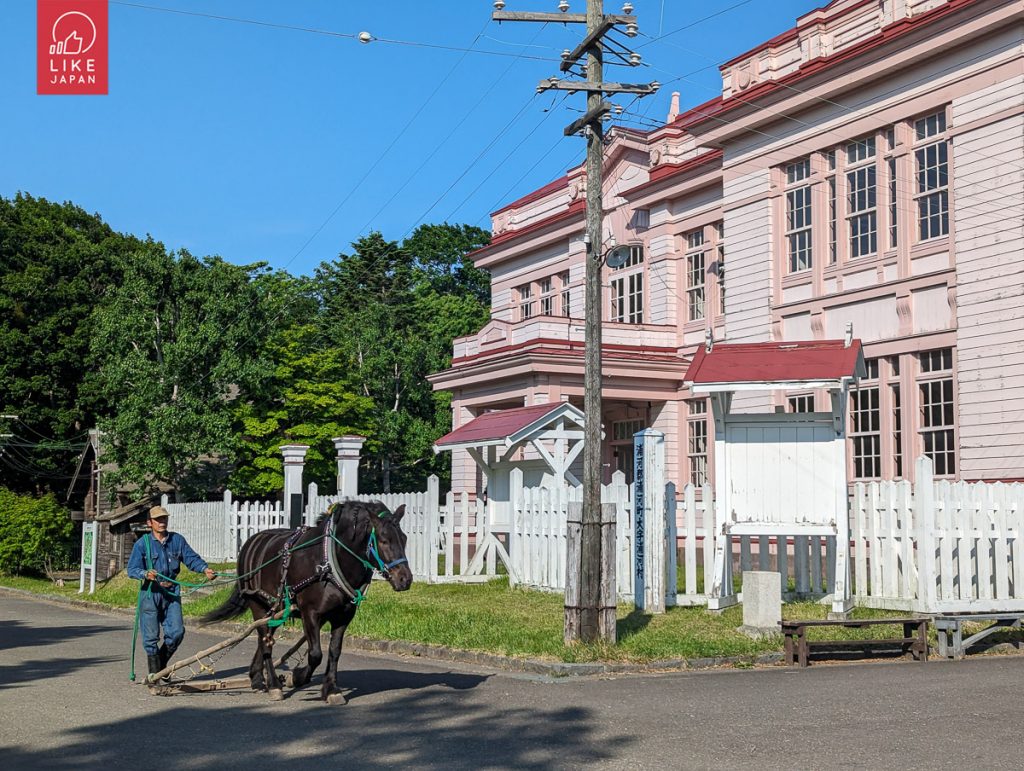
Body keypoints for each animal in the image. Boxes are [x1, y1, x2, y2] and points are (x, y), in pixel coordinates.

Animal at [199, 499, 411, 704]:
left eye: (404, 539)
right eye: (384, 540)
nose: (405, 579)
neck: (329, 562)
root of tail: (250, 542)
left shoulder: (343, 616)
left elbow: (334, 652)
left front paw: (331, 689)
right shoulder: (310, 613)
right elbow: (315, 654)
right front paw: (297, 678)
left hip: (275, 609)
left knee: (264, 637)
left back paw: (257, 678)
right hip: (257, 603)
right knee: (266, 641)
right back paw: (274, 685)